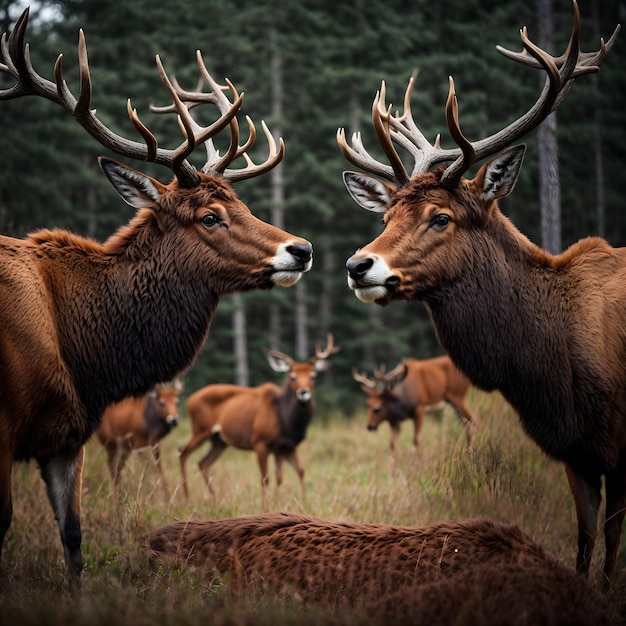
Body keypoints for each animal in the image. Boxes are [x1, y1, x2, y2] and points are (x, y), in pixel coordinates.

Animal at [0, 8, 310, 588]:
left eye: (243, 204)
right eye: (209, 216)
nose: (301, 249)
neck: (89, 362)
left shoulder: (67, 434)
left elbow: (73, 538)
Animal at [178, 332, 338, 508]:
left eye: (313, 376)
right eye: (292, 376)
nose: (303, 392)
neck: (287, 421)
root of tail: (188, 400)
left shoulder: (285, 446)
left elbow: (295, 473)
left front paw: (300, 502)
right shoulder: (260, 442)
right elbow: (265, 478)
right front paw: (265, 506)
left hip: (219, 440)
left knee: (203, 463)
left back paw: (214, 498)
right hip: (200, 429)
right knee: (183, 453)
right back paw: (186, 497)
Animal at [338, 0, 620, 584]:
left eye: (441, 217)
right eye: (386, 216)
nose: (356, 265)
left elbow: (610, 545)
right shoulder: (576, 451)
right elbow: (585, 544)